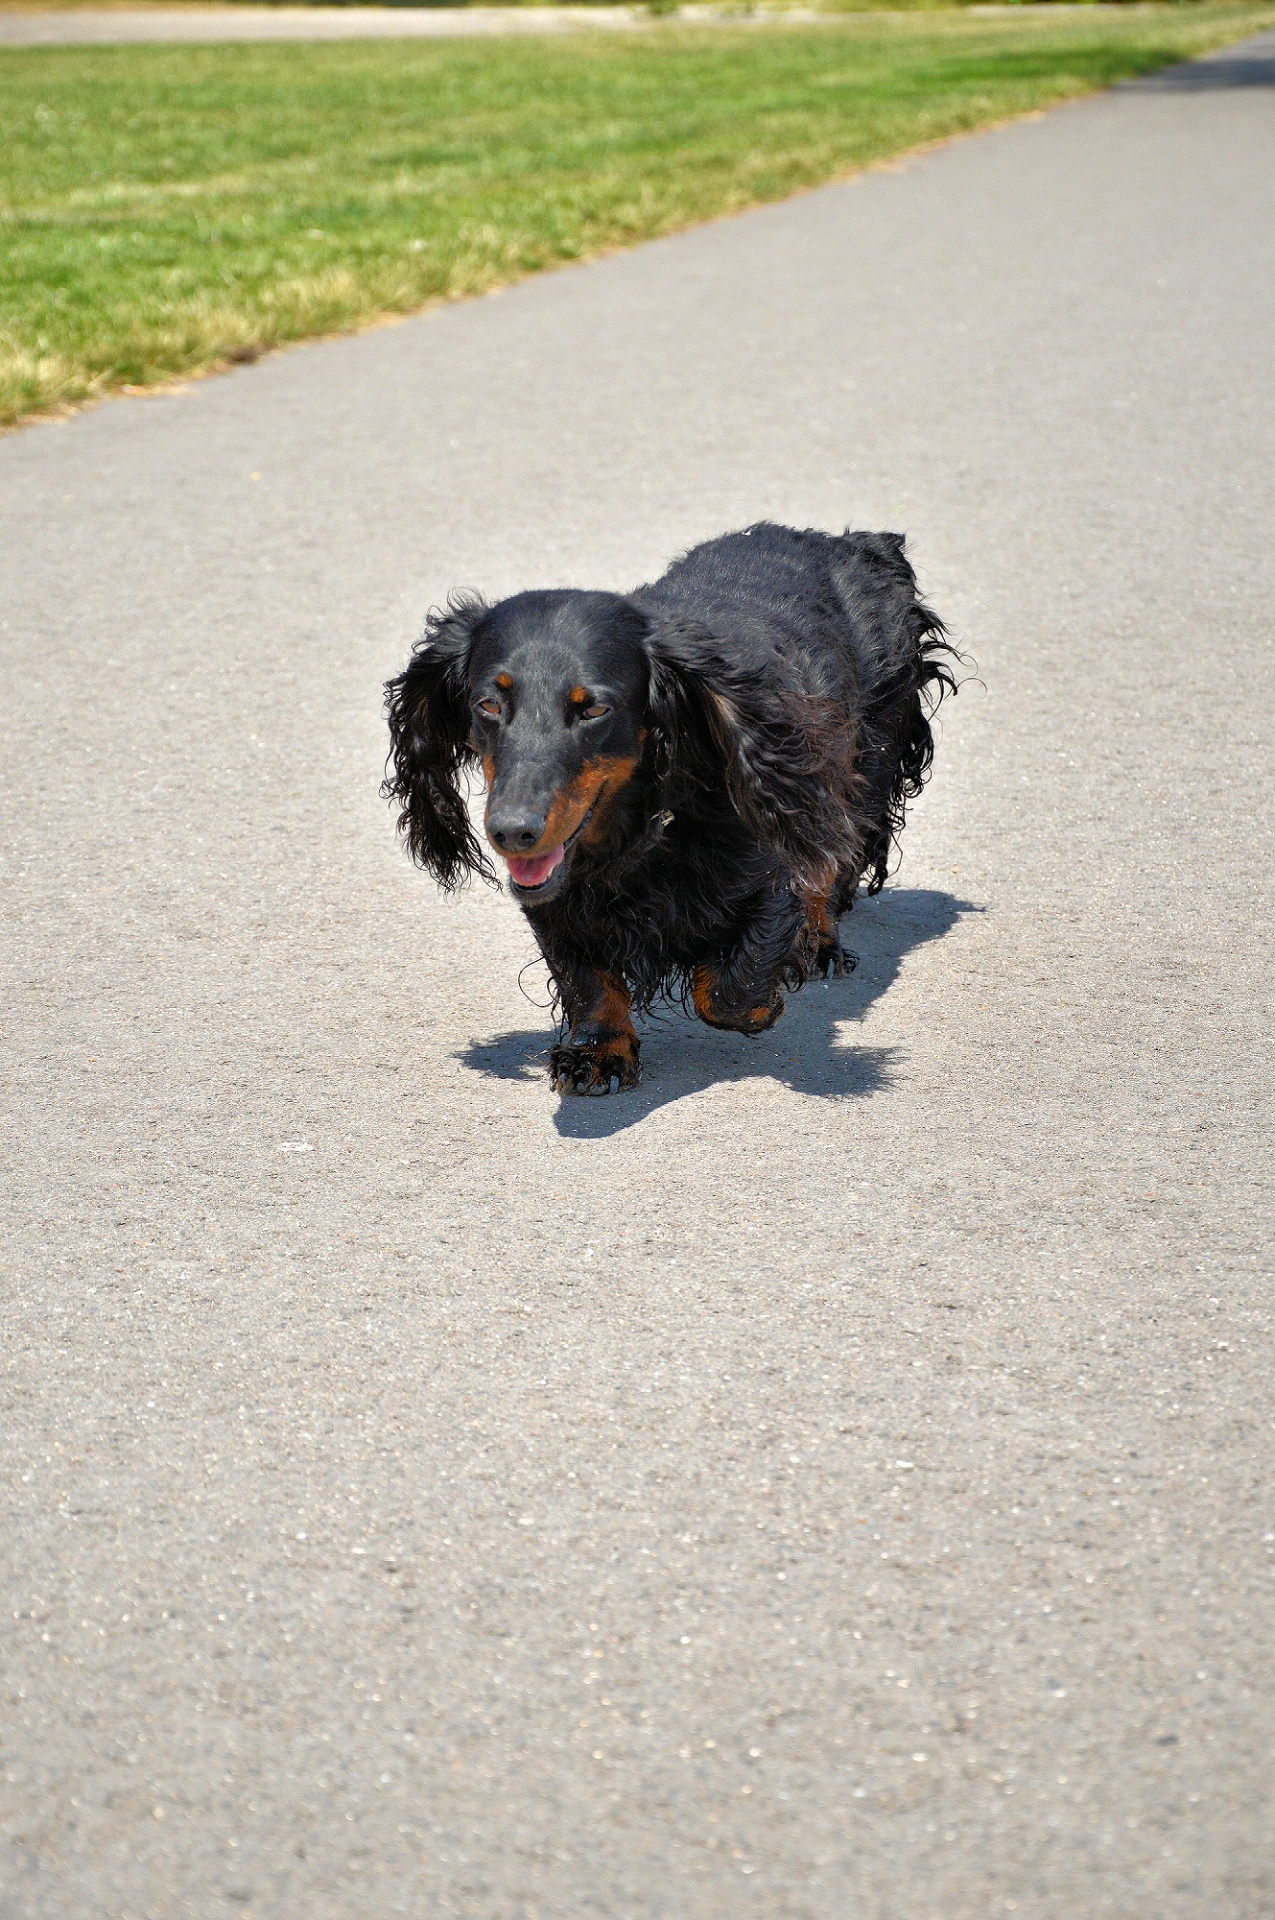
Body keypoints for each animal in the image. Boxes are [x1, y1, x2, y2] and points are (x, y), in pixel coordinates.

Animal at [384, 526, 952, 1098]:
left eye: (593, 708)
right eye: (488, 704)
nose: (512, 831)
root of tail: (851, 542)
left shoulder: (769, 864)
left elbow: (728, 989)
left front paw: (767, 995)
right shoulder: (556, 896)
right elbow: (586, 976)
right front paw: (599, 1050)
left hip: (865, 759)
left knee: (832, 858)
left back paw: (816, 944)